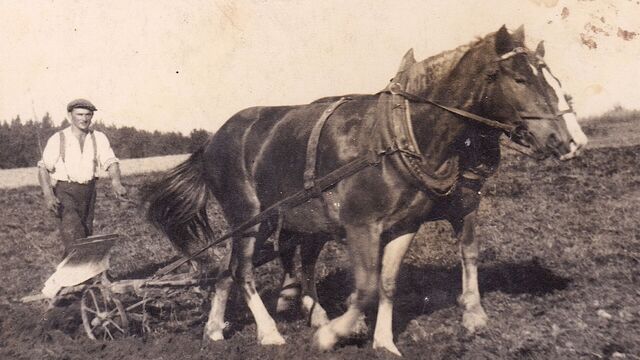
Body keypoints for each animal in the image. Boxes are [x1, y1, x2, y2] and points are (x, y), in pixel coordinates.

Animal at [146, 26, 584, 358]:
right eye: (521, 79)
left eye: (555, 80)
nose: (569, 141)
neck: (402, 138)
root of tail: (211, 140)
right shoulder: (361, 226)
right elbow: (366, 286)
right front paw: (333, 334)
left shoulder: (407, 225)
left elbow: (388, 283)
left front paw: (384, 341)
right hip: (248, 215)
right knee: (243, 270)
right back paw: (271, 331)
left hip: (276, 219)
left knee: (230, 267)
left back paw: (216, 329)